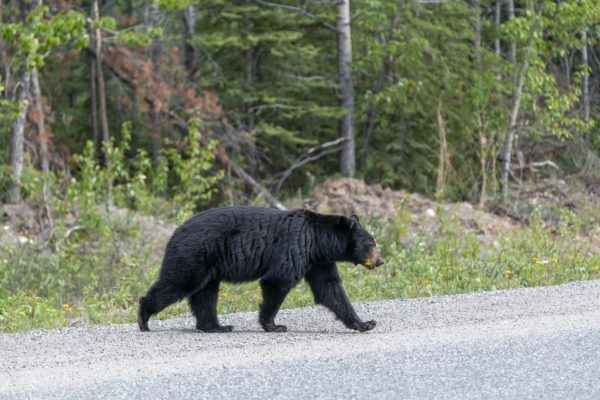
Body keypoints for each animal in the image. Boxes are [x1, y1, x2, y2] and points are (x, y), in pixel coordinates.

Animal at [138, 208, 384, 332]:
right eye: (370, 243)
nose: (381, 261)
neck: (317, 242)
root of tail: (174, 232)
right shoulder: (294, 247)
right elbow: (277, 282)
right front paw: (273, 324)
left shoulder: (318, 262)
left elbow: (330, 290)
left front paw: (365, 323)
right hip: (193, 255)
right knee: (178, 283)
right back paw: (143, 318)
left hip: (208, 267)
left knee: (205, 295)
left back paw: (217, 326)